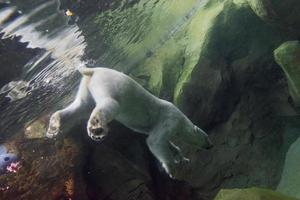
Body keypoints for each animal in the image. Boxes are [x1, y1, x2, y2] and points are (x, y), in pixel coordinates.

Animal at [45, 67, 212, 177]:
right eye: (207, 137)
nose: (211, 146)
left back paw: (54, 125)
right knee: (111, 105)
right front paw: (172, 169)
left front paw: (180, 156)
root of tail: (92, 70)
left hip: (86, 87)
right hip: (110, 85)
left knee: (81, 106)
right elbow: (155, 141)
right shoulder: (169, 119)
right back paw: (96, 128)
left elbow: (161, 141)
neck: (181, 120)